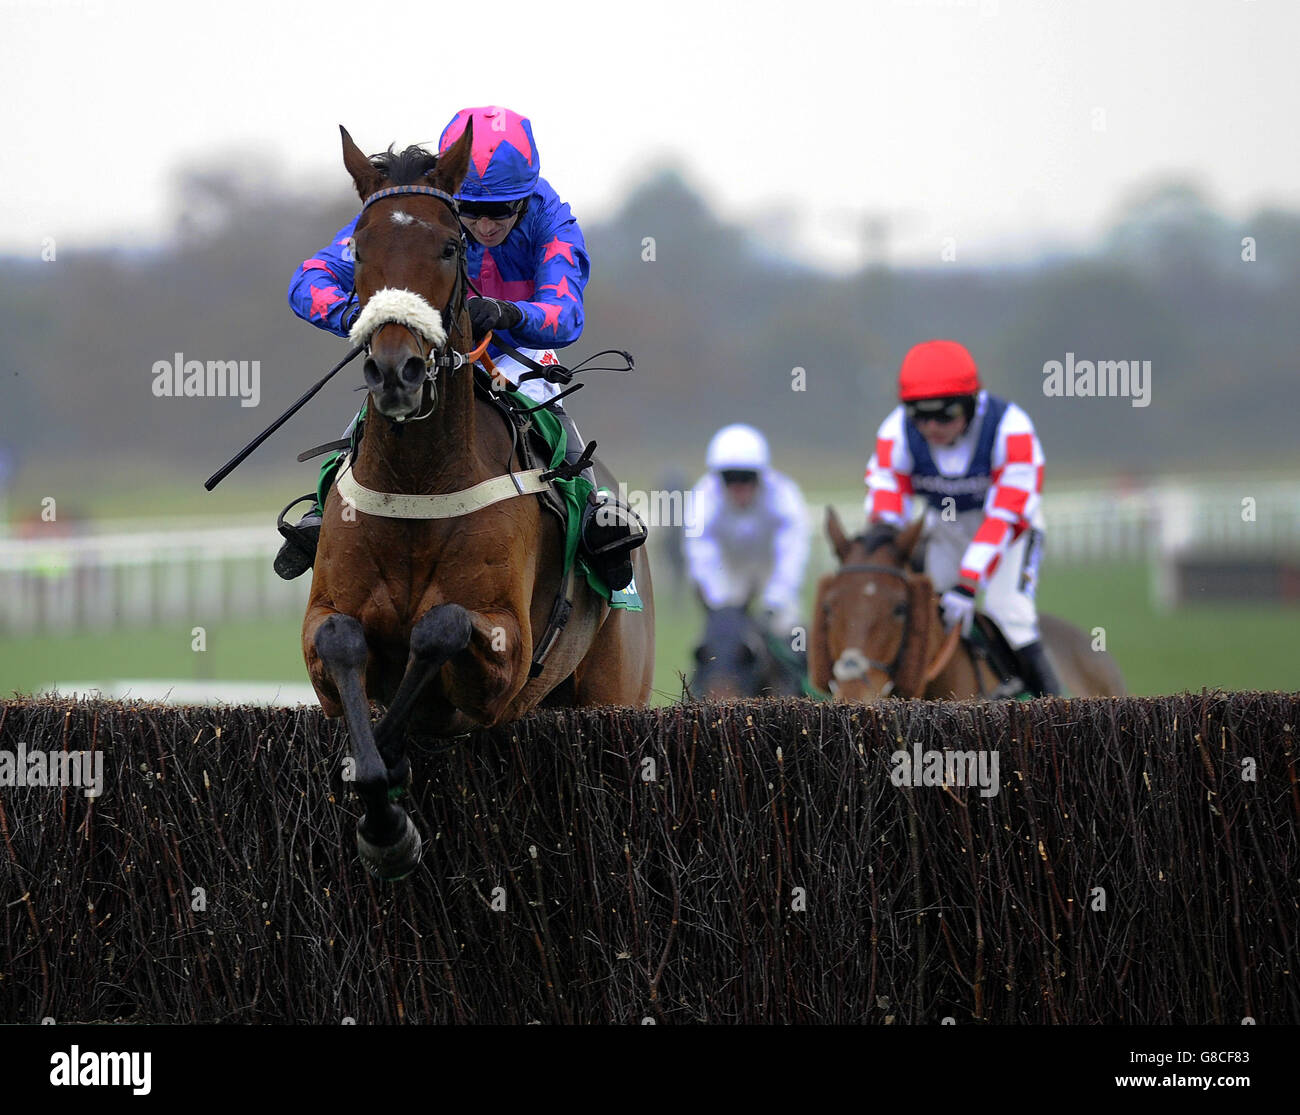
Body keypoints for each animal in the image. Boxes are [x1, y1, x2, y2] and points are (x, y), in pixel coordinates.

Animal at [300, 124, 655, 878]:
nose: (396, 370)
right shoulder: (323, 625)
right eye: (359, 248)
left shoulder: (506, 653)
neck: (418, 482)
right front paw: (381, 802)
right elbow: (343, 641)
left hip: (611, 690)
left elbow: (441, 627)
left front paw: (390, 800)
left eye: (449, 245)